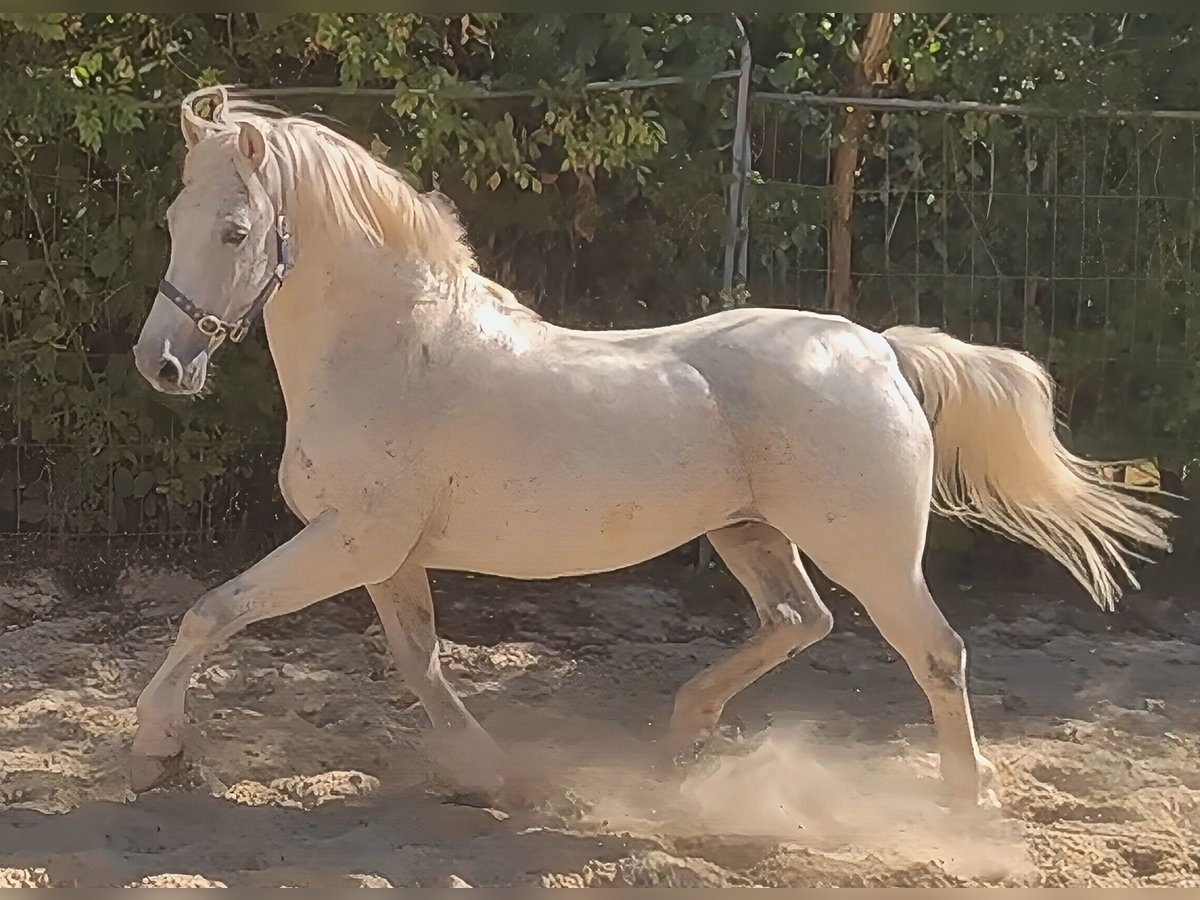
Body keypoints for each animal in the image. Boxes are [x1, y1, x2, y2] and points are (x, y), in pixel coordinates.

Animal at [129, 85, 1170, 811]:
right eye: (171, 223)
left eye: (235, 231)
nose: (161, 364)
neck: (393, 350)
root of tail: (875, 347)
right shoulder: (384, 554)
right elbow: (419, 660)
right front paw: (488, 773)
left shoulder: (353, 541)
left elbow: (214, 612)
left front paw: (154, 746)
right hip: (751, 532)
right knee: (799, 620)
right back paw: (683, 731)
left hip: (871, 552)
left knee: (935, 651)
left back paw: (966, 797)